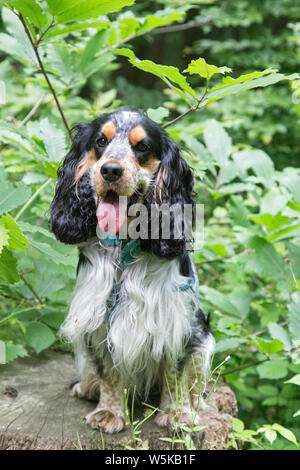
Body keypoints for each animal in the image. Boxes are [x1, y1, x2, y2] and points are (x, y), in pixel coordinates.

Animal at [50, 106, 214, 434]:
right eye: (101, 141)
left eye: (142, 146)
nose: (111, 170)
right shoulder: (98, 316)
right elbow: (108, 370)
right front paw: (109, 413)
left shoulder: (179, 322)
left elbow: (175, 372)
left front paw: (177, 415)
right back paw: (88, 386)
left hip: (204, 343)